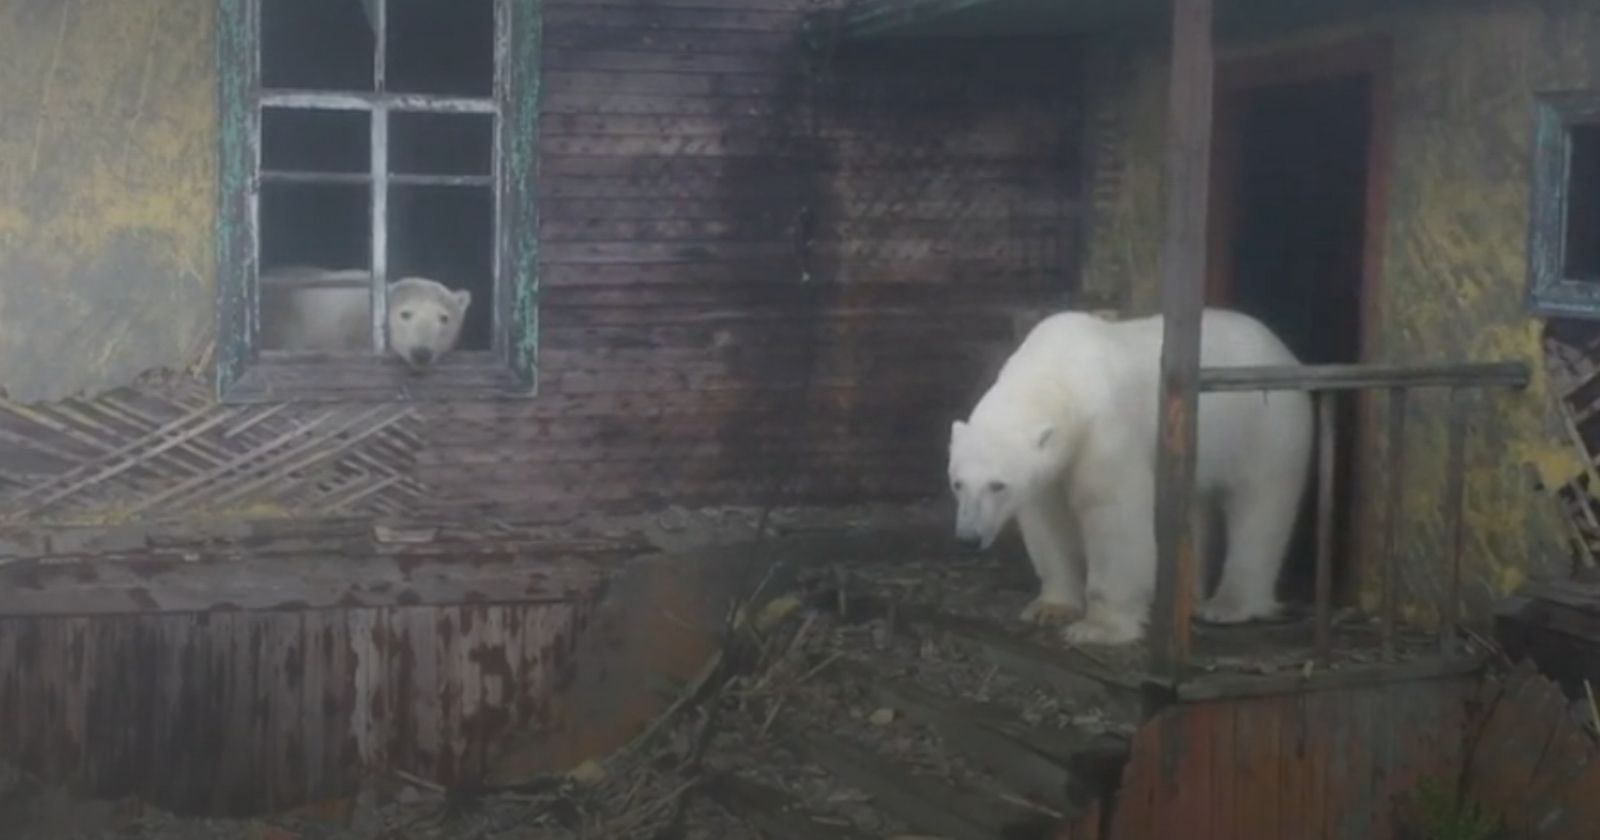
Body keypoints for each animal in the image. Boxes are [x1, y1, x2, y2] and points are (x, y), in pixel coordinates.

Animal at [947, 307, 1312, 643]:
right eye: (957, 484)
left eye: (998, 485)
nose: (968, 538)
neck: (1059, 373)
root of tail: (1282, 348)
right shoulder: (1049, 471)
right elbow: (1049, 521)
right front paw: (1051, 608)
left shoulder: (1105, 431)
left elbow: (1113, 518)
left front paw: (1097, 628)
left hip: (1265, 423)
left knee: (1260, 506)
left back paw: (1227, 606)